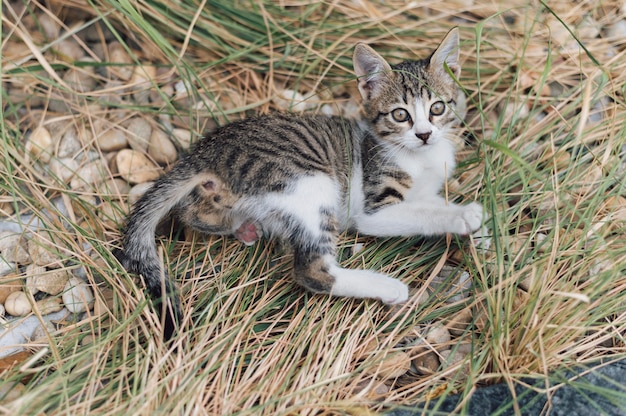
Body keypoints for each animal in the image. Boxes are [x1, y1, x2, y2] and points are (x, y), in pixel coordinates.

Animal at [117, 28, 482, 342]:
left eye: (437, 108)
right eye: (400, 115)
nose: (424, 134)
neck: (422, 157)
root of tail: (208, 150)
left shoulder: (426, 188)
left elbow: (429, 203)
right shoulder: (374, 207)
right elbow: (418, 213)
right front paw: (463, 216)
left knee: (193, 212)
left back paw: (244, 227)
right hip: (309, 181)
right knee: (313, 271)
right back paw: (386, 287)